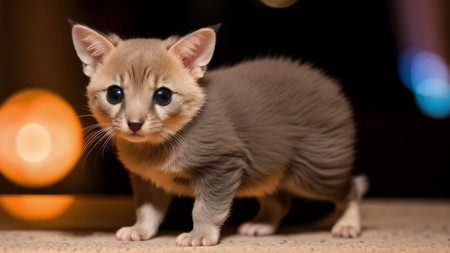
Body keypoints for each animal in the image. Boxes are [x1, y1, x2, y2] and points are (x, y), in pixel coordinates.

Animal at [70, 23, 366, 245]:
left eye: (163, 96)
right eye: (115, 94)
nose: (134, 123)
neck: (158, 146)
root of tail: (326, 83)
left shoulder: (224, 164)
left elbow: (205, 207)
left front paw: (200, 235)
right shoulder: (147, 178)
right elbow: (148, 208)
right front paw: (140, 229)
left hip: (315, 169)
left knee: (350, 188)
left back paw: (348, 225)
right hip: (268, 166)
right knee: (280, 199)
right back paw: (262, 225)